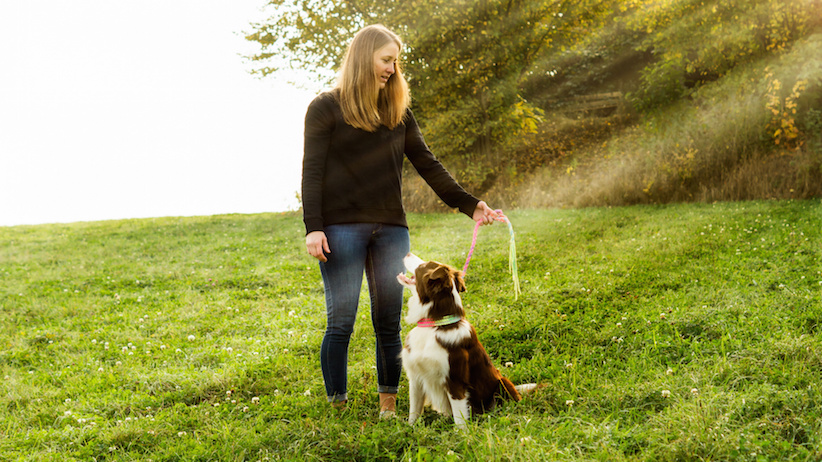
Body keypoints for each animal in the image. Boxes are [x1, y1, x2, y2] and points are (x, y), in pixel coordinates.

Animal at [398, 253, 536, 426]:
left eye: (424, 265)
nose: (407, 253)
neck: (434, 325)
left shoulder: (455, 380)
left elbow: (459, 416)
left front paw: (461, 432)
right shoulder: (415, 377)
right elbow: (414, 409)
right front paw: (411, 428)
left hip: (501, 382)